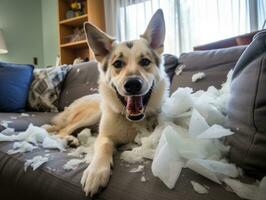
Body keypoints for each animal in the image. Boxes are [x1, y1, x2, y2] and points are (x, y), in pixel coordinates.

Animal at [47, 9, 168, 197]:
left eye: (145, 62)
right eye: (117, 63)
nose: (132, 84)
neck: (130, 120)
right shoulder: (104, 136)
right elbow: (103, 146)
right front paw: (96, 172)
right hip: (92, 114)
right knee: (61, 131)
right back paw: (70, 139)